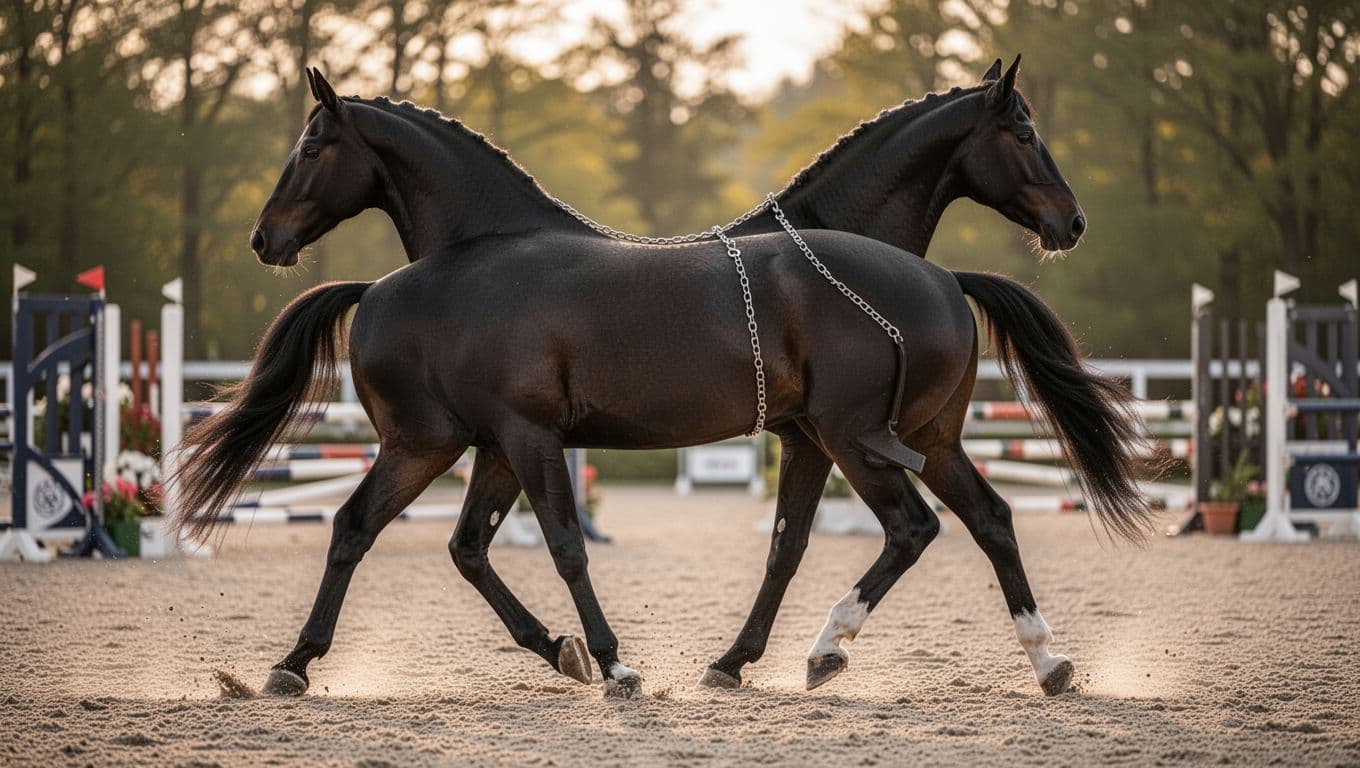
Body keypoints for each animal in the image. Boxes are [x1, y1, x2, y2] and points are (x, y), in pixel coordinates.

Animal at [172, 62, 1148, 701]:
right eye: (1021, 131)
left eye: (310, 144)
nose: (266, 237)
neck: (478, 257)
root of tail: (944, 280)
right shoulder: (507, 442)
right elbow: (507, 547)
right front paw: (609, 656)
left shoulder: (527, 441)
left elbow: (568, 544)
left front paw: (617, 663)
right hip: (915, 440)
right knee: (987, 519)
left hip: (860, 444)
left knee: (920, 527)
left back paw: (833, 650)